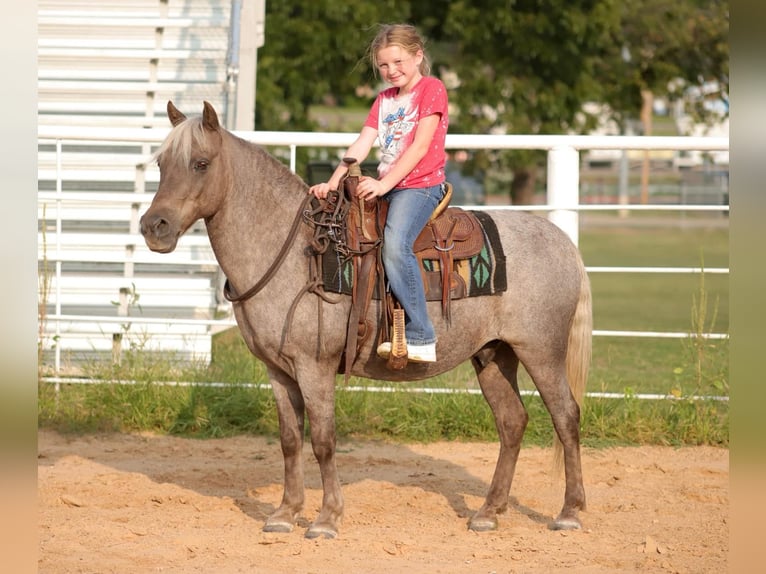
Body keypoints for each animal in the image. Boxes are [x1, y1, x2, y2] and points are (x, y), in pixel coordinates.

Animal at [140, 101, 592, 539]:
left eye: (201, 163)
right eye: (161, 163)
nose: (153, 226)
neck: (294, 251)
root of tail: (562, 242)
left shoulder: (315, 367)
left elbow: (323, 441)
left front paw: (326, 518)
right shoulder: (278, 370)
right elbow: (289, 440)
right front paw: (285, 513)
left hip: (542, 352)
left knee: (566, 416)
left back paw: (570, 512)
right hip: (494, 354)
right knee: (512, 422)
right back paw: (489, 512)